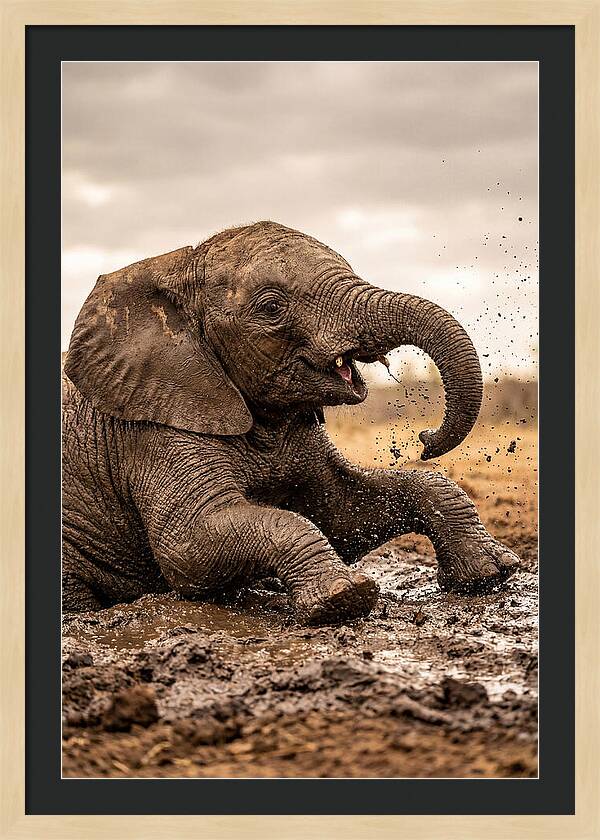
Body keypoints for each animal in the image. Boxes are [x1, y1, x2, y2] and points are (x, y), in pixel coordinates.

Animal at [62, 221, 520, 624]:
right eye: (271, 308)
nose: (425, 439)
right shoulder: (154, 429)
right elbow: (188, 548)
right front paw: (343, 598)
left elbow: (343, 512)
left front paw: (492, 573)